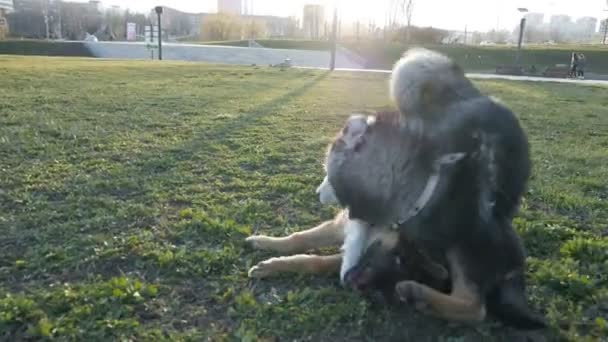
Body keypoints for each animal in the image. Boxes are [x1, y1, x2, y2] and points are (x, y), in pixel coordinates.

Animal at [245, 48, 544, 332]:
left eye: (327, 175)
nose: (318, 194)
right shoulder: (343, 228)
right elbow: (300, 239)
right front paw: (267, 245)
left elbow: (318, 257)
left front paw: (276, 263)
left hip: (464, 245)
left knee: (474, 306)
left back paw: (418, 294)